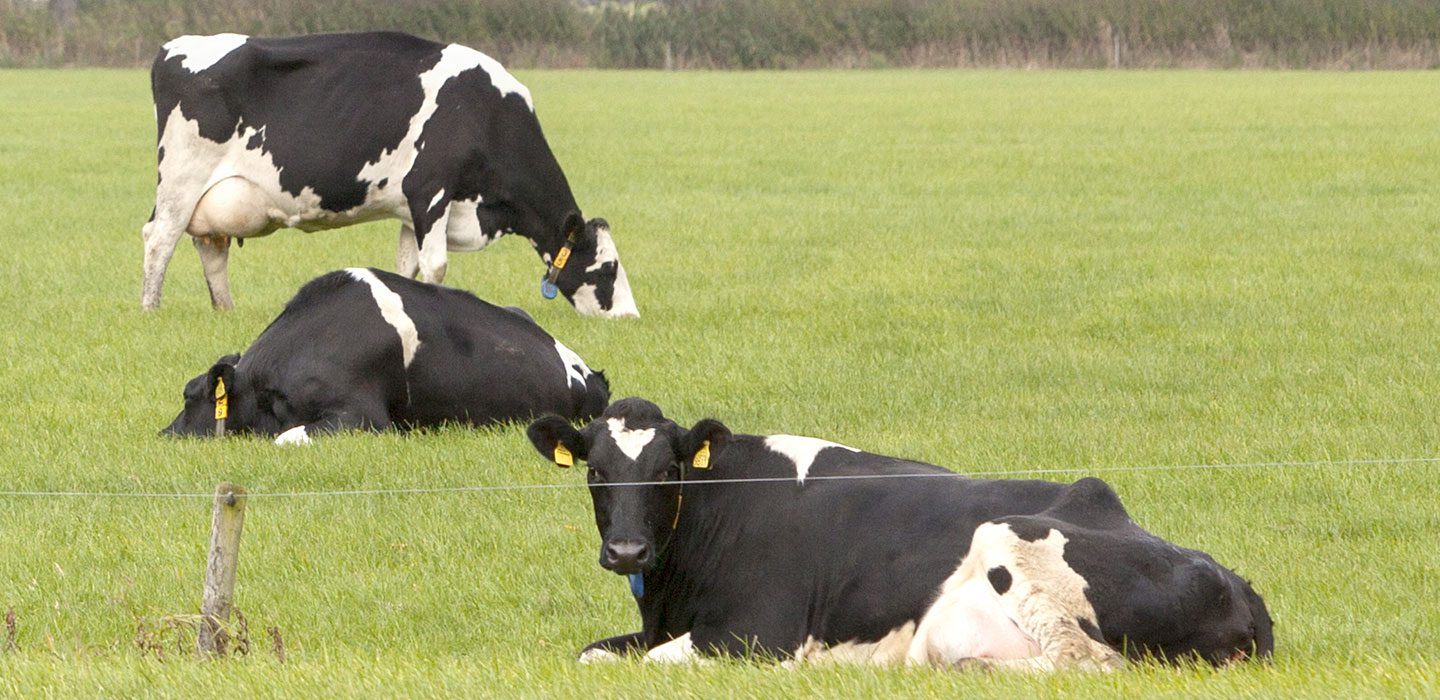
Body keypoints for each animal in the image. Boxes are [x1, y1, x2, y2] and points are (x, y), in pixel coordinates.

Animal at [140, 32, 636, 316]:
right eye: (608, 268)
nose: (630, 317)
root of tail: (173, 46)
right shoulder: (430, 191)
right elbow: (436, 265)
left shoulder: (411, 207)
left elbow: (407, 265)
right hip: (181, 177)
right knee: (160, 239)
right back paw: (151, 310)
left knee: (210, 246)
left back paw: (225, 311)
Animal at [527, 400, 1272, 668]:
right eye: (594, 471)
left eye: (667, 470)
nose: (627, 550)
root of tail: (1237, 583)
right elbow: (593, 655)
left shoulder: (755, 635)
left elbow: (653, 663)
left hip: (1012, 543)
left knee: (1081, 665)